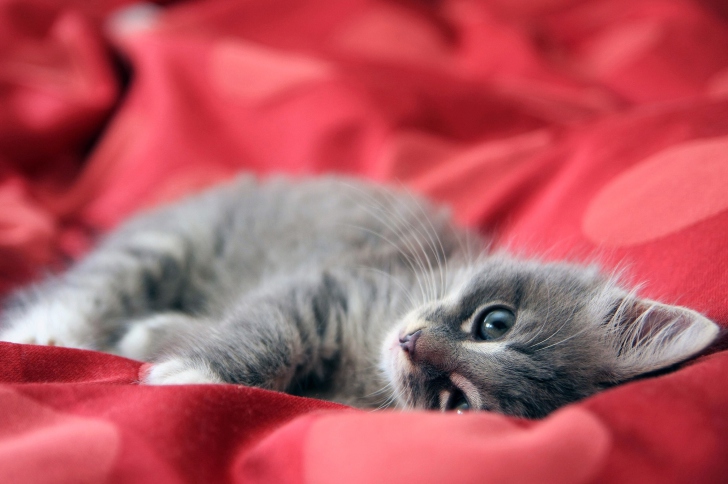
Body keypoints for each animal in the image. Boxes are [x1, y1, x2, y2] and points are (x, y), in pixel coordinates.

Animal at [0, 176, 716, 418]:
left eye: (457, 403)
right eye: (495, 322)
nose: (412, 343)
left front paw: (165, 347)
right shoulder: (326, 288)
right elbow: (263, 331)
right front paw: (193, 373)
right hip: (166, 243)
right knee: (89, 286)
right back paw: (39, 336)